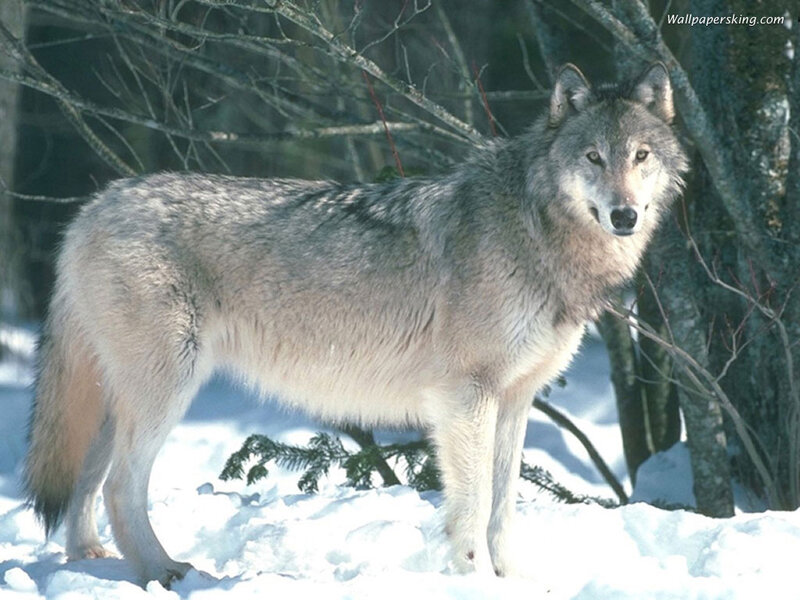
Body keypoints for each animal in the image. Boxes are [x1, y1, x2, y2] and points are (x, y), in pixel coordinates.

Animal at [24, 62, 686, 585]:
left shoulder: (517, 398)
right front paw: (475, 580)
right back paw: (166, 573)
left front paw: (516, 581)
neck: (535, 230)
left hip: (118, 399)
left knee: (86, 480)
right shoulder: (465, 397)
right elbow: (473, 507)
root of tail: (93, 206)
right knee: (120, 486)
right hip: (167, 389)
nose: (625, 215)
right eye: (593, 158)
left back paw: (91, 562)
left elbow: (503, 508)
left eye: (641, 157)